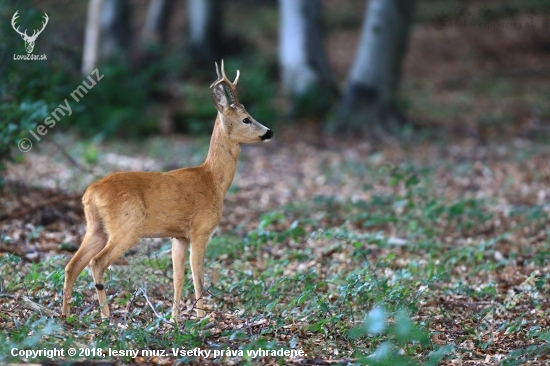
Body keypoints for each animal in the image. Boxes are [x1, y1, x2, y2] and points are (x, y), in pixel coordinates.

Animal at [62, 60, 274, 320]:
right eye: (246, 119)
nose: (269, 131)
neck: (213, 180)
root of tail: (90, 193)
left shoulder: (178, 236)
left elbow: (177, 278)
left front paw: (174, 318)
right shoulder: (200, 229)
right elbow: (198, 276)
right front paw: (201, 318)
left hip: (96, 227)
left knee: (72, 265)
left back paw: (65, 315)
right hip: (126, 227)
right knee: (96, 262)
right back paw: (105, 315)